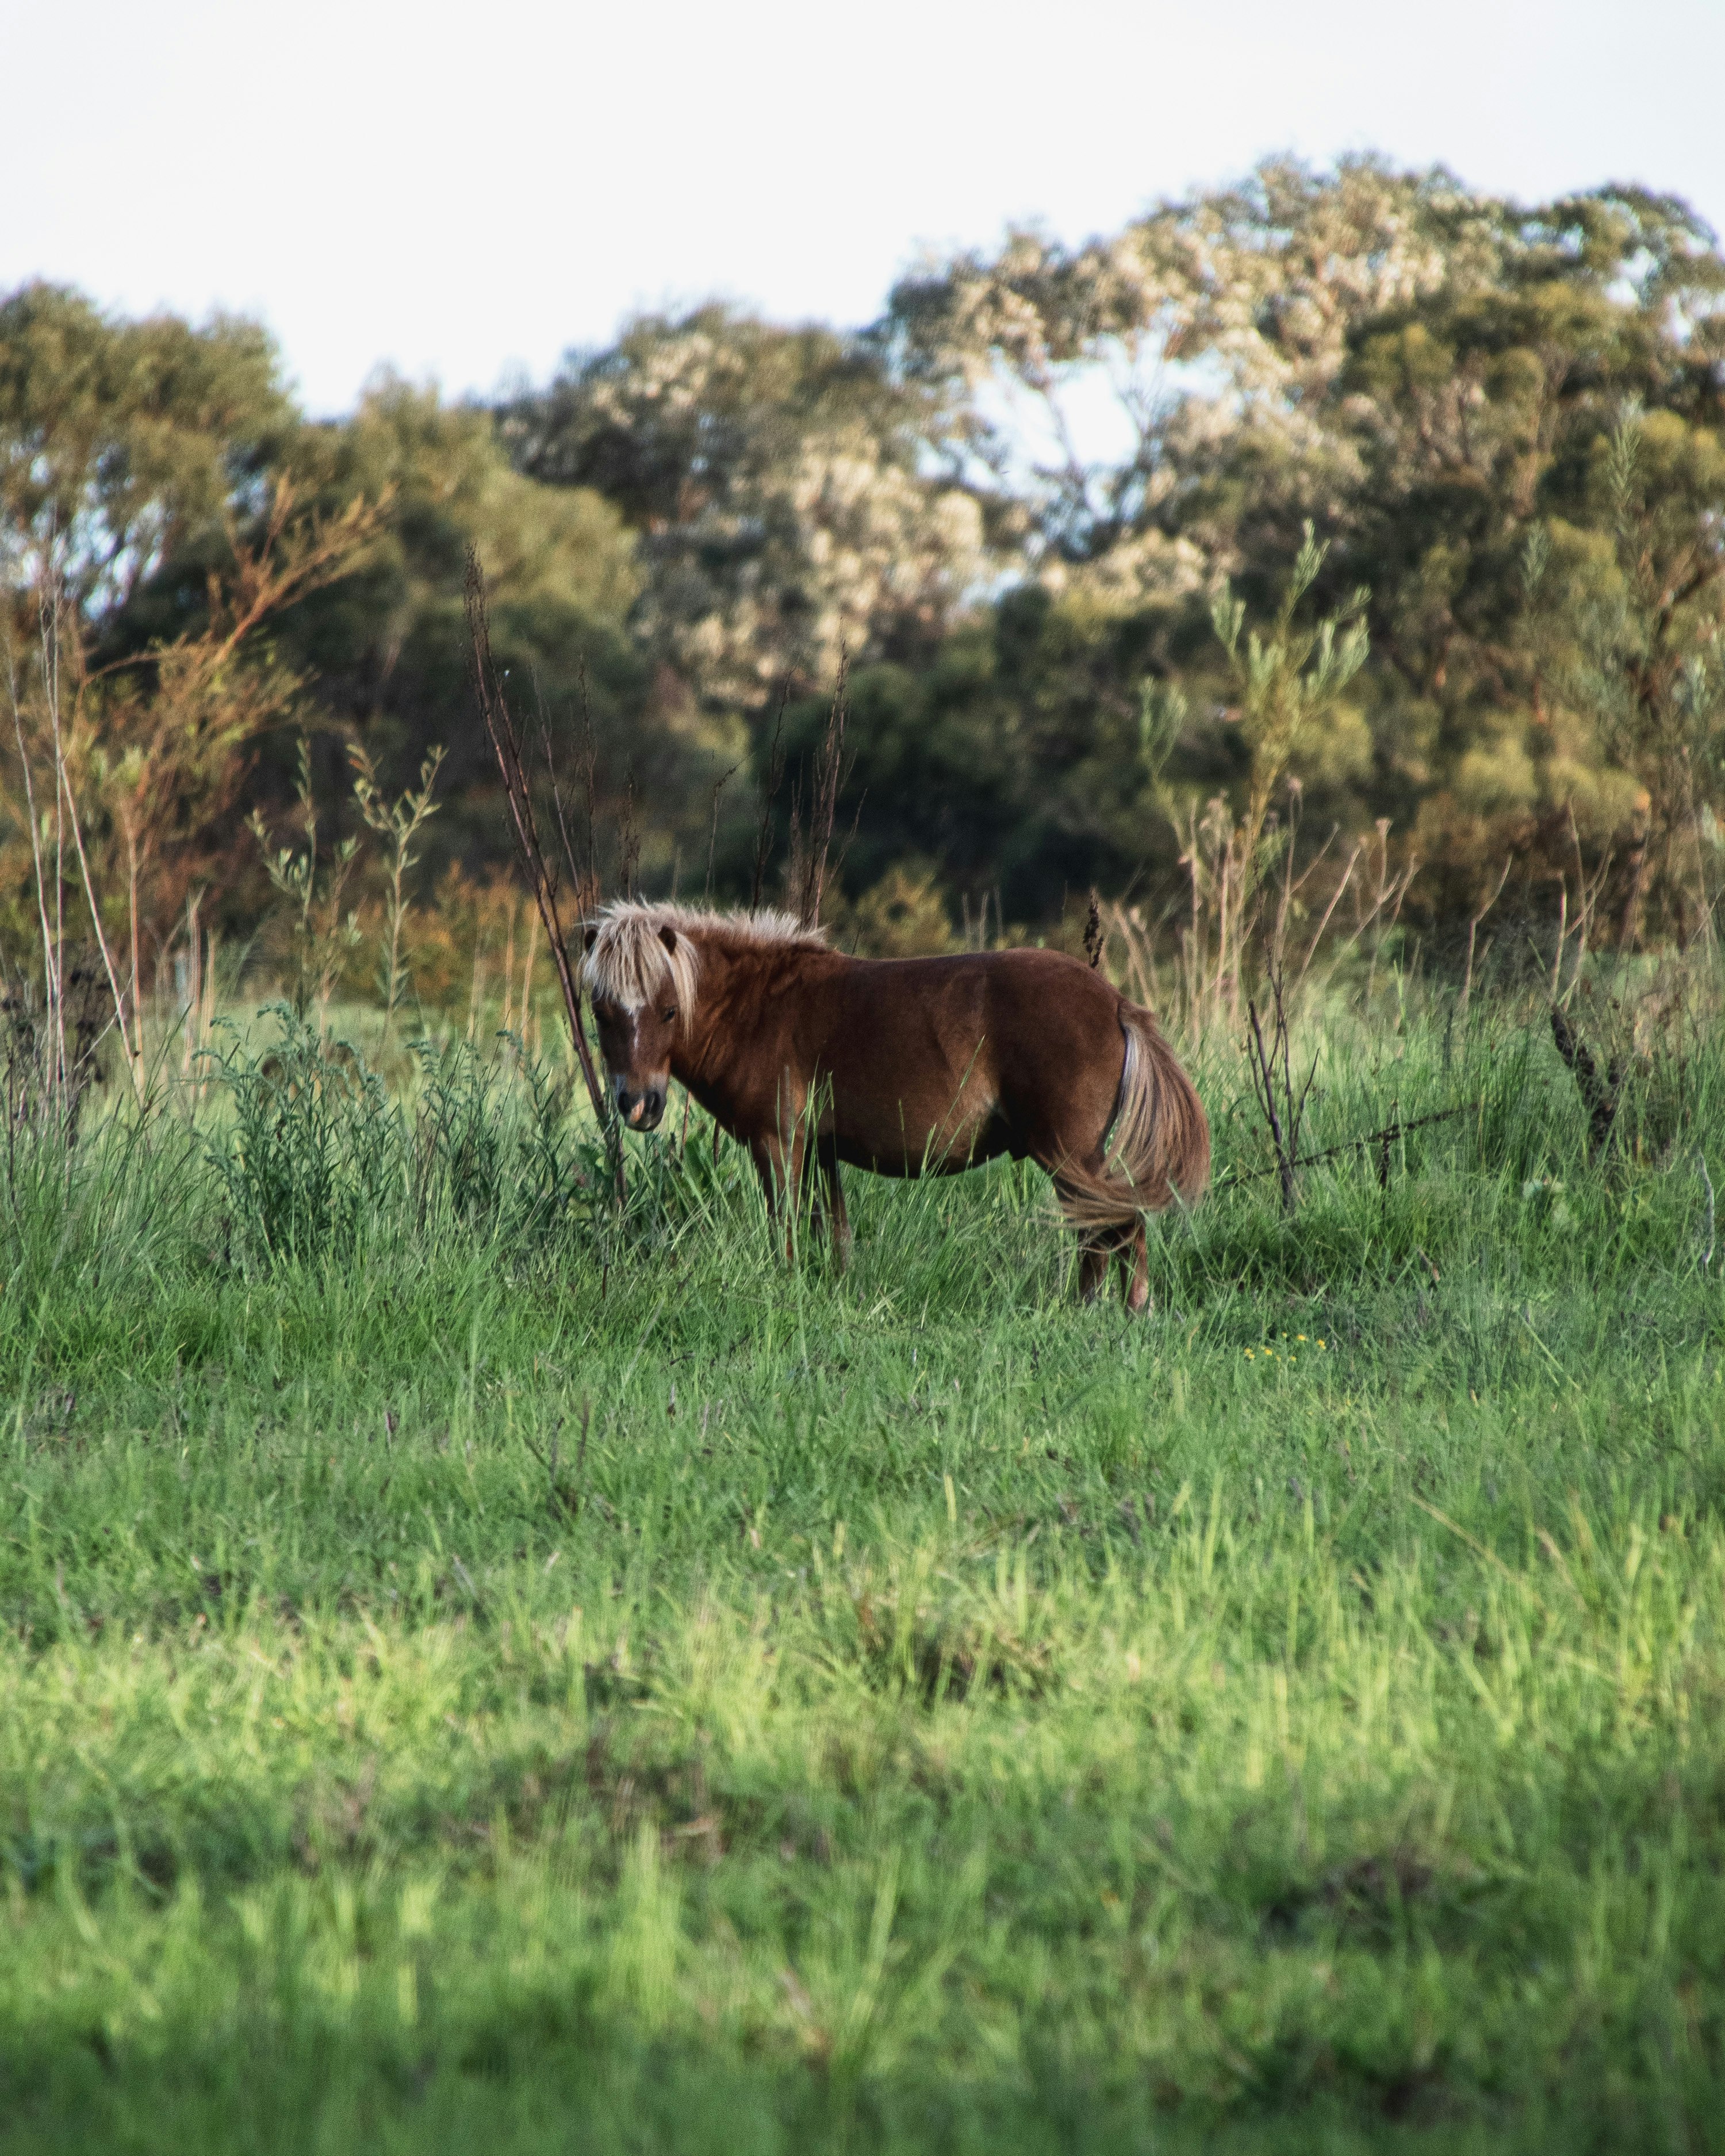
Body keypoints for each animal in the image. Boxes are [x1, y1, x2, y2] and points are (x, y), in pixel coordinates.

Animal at [578, 901, 1199, 1302]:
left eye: (668, 1011)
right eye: (601, 1012)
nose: (638, 1105)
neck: (758, 1007)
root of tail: (1116, 1002)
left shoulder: (778, 1143)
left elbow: (785, 1228)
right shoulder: (820, 1151)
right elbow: (833, 1232)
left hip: (1071, 1155)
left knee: (1108, 1232)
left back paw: (1096, 1311)